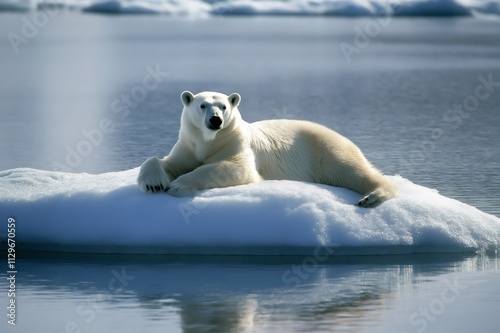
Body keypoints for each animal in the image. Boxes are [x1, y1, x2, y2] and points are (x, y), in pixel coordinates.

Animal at [137, 89, 394, 206]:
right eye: (202, 105)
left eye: (223, 106)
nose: (216, 120)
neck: (209, 141)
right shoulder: (188, 146)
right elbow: (167, 162)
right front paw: (154, 183)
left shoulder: (237, 144)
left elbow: (235, 168)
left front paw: (179, 185)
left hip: (326, 150)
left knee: (353, 171)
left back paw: (370, 197)